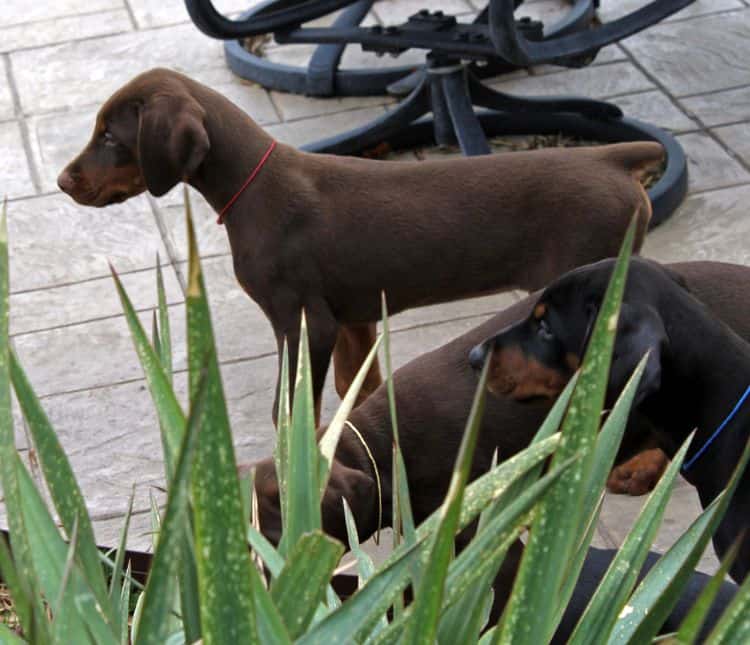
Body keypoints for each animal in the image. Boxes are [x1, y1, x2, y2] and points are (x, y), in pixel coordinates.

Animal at [58, 68, 664, 420]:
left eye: (110, 137)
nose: (63, 183)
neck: (251, 186)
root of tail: (614, 159)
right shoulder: (351, 319)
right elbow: (360, 387)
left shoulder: (303, 321)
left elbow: (290, 409)